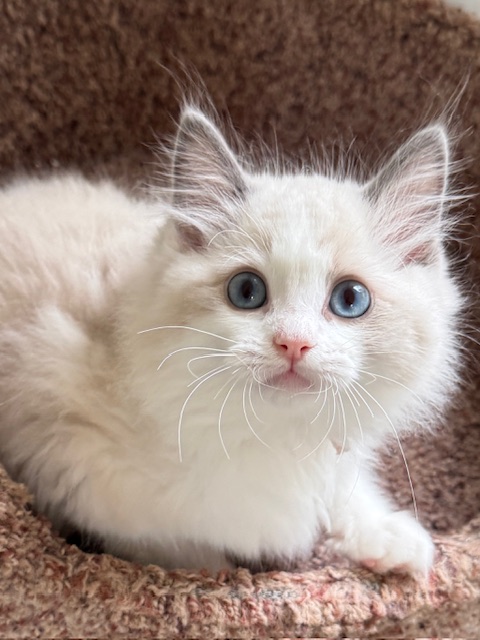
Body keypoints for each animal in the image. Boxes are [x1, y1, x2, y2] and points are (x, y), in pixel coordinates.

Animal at [0, 106, 462, 576]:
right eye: (246, 291)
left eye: (350, 299)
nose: (293, 343)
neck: (274, 439)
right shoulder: (72, 459)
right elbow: (181, 548)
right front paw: (230, 570)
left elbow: (346, 489)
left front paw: (389, 537)